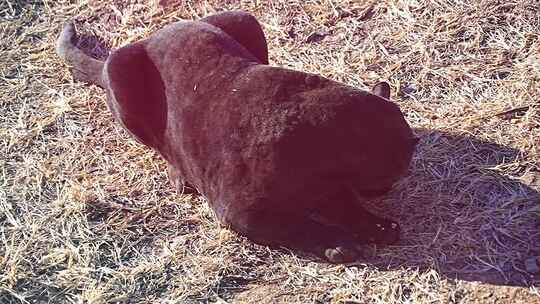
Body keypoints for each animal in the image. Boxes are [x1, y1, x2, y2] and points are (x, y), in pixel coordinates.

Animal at [56, 10, 418, 262]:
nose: (390, 185)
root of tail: (154, 34)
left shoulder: (330, 187)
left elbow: (346, 204)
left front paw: (375, 225)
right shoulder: (241, 213)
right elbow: (297, 224)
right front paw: (338, 244)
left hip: (245, 19)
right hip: (121, 70)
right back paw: (179, 177)